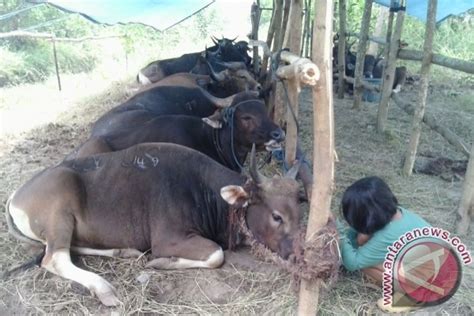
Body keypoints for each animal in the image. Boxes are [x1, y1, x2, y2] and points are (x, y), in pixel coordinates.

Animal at [7, 143, 302, 306]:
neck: (205, 192)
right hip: (60, 211)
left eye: (300, 208)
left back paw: (123, 251)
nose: (297, 255)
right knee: (54, 258)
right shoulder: (167, 240)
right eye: (277, 216)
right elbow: (216, 254)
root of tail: (15, 195)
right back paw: (104, 288)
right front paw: (161, 262)